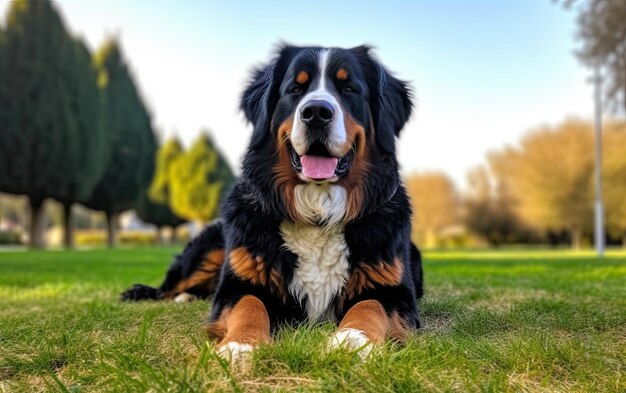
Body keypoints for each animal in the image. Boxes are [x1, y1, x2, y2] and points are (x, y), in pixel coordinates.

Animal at [120, 44, 424, 360]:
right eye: (295, 89)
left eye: (349, 88)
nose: (316, 113)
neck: (317, 213)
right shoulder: (239, 284)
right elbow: (249, 306)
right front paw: (240, 345)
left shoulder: (392, 290)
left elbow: (369, 306)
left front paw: (352, 341)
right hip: (206, 252)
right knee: (169, 287)